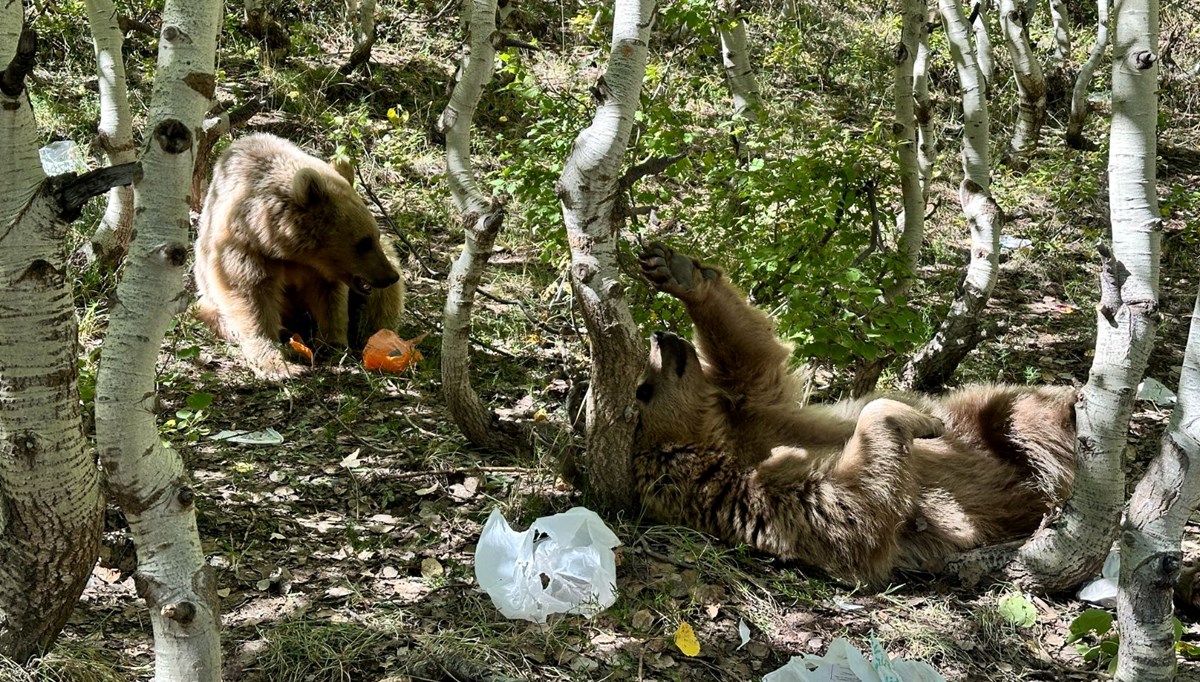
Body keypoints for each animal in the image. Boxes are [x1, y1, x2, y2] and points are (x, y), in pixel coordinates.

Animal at [194, 133, 405, 379]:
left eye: (375, 236)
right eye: (363, 242)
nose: (389, 276)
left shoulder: (322, 271)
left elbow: (331, 299)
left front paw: (332, 344)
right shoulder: (246, 249)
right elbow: (251, 297)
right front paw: (277, 363)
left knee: (383, 302)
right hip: (209, 301)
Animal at [633, 242, 1075, 588]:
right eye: (643, 389)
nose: (660, 336)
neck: (720, 439)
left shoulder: (760, 410)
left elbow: (754, 356)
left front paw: (677, 270)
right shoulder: (754, 497)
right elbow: (854, 510)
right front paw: (914, 420)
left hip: (982, 417)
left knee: (1021, 413)